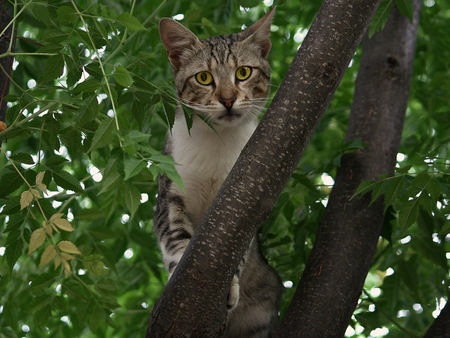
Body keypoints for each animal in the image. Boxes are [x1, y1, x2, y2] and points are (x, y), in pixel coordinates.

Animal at [155, 8, 282, 338]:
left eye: (243, 72)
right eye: (204, 77)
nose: (227, 99)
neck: (217, 143)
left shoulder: (249, 207)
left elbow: (239, 250)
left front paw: (231, 286)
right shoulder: (168, 195)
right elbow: (175, 237)